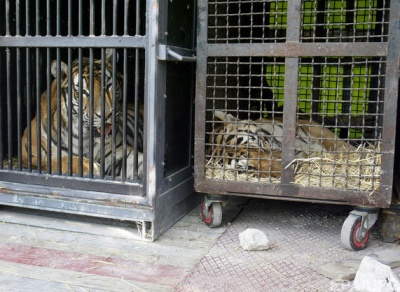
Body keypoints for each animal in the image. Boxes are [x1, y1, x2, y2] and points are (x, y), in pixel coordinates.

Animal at [21, 49, 144, 179]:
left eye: (108, 85)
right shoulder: (30, 155)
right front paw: (91, 167)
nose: (106, 115)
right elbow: (60, 160)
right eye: (84, 92)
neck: (84, 137)